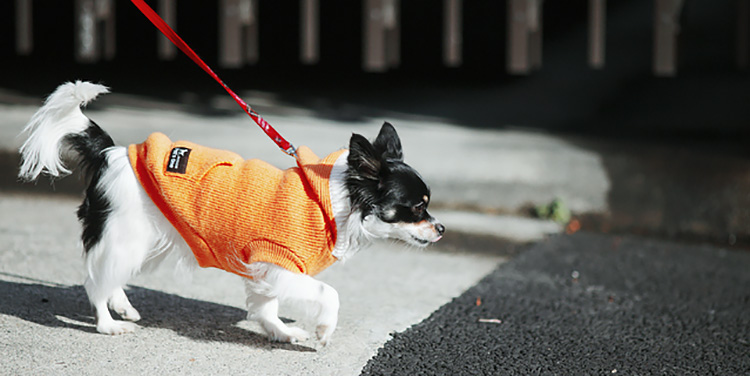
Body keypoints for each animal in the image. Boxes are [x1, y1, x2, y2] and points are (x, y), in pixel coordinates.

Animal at [17, 81, 444, 344]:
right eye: (417, 207)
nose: (440, 228)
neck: (335, 203)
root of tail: (112, 152)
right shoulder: (279, 262)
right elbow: (329, 293)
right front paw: (324, 329)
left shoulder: (264, 270)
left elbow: (266, 306)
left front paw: (281, 333)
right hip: (127, 237)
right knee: (94, 281)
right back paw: (107, 324)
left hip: (145, 240)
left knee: (109, 275)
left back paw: (122, 305)